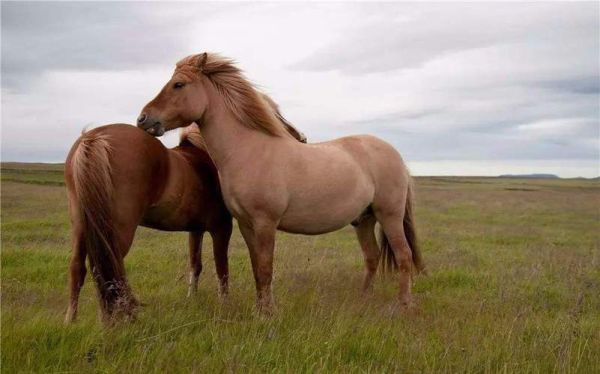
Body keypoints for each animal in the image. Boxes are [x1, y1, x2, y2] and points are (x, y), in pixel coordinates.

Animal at [138, 53, 424, 316]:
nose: (143, 119)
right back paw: (362, 301)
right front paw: (259, 309)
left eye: (178, 84)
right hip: (364, 219)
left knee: (403, 256)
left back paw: (404, 305)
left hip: (389, 216)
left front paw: (267, 315)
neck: (249, 150)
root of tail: (395, 154)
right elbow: (257, 269)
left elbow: (266, 269)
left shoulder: (266, 223)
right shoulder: (246, 224)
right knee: (372, 257)